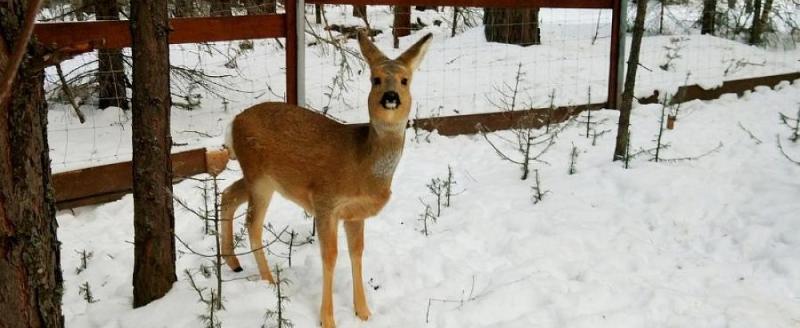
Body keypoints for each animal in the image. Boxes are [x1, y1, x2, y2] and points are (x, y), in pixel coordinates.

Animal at [219, 31, 432, 328]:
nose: (391, 96)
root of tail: (233, 123)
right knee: (253, 224)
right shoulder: (325, 201)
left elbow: (357, 253)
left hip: (259, 177)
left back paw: (233, 262)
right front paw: (327, 318)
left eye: (405, 80)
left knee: (228, 194)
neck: (362, 164)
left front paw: (363, 312)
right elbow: (330, 256)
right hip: (259, 177)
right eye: (375, 79)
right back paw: (269, 280)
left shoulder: (355, 214)